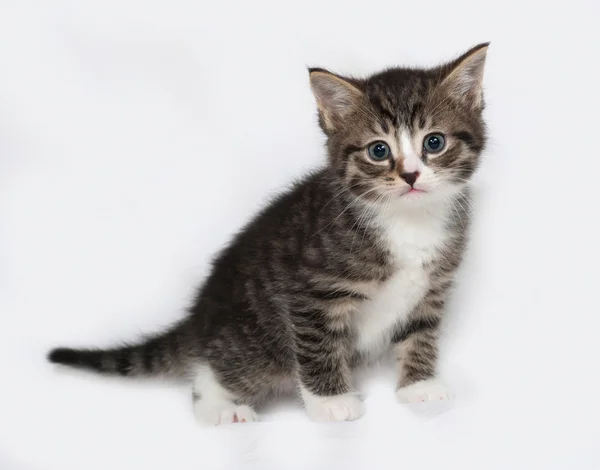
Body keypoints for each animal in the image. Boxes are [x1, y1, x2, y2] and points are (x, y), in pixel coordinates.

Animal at [47, 44, 488, 424]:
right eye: (378, 151)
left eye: (434, 142)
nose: (411, 175)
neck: (406, 219)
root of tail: (199, 314)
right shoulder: (309, 291)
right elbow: (316, 346)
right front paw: (332, 402)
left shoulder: (432, 286)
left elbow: (421, 333)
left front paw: (419, 385)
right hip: (254, 341)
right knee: (216, 368)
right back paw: (221, 406)